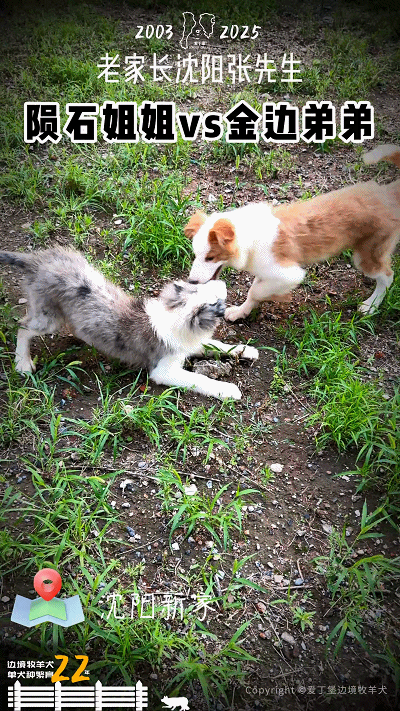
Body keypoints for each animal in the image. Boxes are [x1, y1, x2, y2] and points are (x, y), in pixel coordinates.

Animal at [0, 247, 258, 399]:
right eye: (216, 300)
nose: (223, 282)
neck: (174, 315)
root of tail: (36, 260)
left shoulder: (191, 344)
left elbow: (218, 345)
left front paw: (247, 350)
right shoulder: (164, 370)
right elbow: (198, 379)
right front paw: (227, 389)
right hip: (48, 318)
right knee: (22, 326)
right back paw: (22, 362)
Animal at [185, 144, 400, 320]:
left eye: (210, 258)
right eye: (195, 254)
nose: (191, 281)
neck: (249, 237)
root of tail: (389, 192)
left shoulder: (290, 274)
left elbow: (256, 291)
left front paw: (279, 296)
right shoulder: (266, 271)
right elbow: (253, 290)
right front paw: (241, 312)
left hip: (368, 254)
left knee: (387, 276)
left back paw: (371, 305)